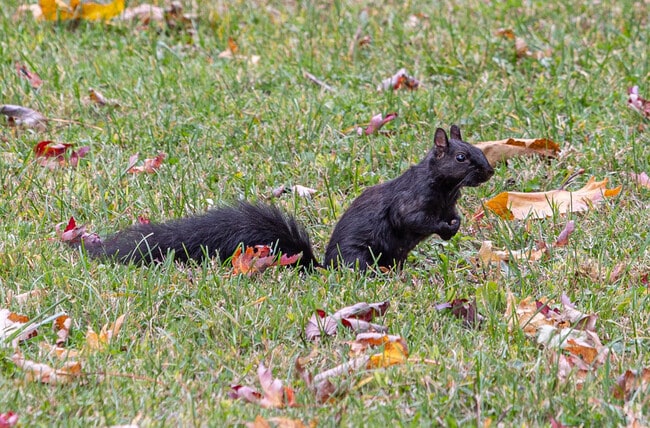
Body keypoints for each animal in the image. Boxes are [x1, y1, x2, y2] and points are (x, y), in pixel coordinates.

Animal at [80, 125, 494, 270]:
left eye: (478, 148)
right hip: (361, 256)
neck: (445, 189)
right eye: (461, 157)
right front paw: (443, 225)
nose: (489, 171)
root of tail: (324, 266)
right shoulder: (409, 201)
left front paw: (454, 225)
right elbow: (412, 218)